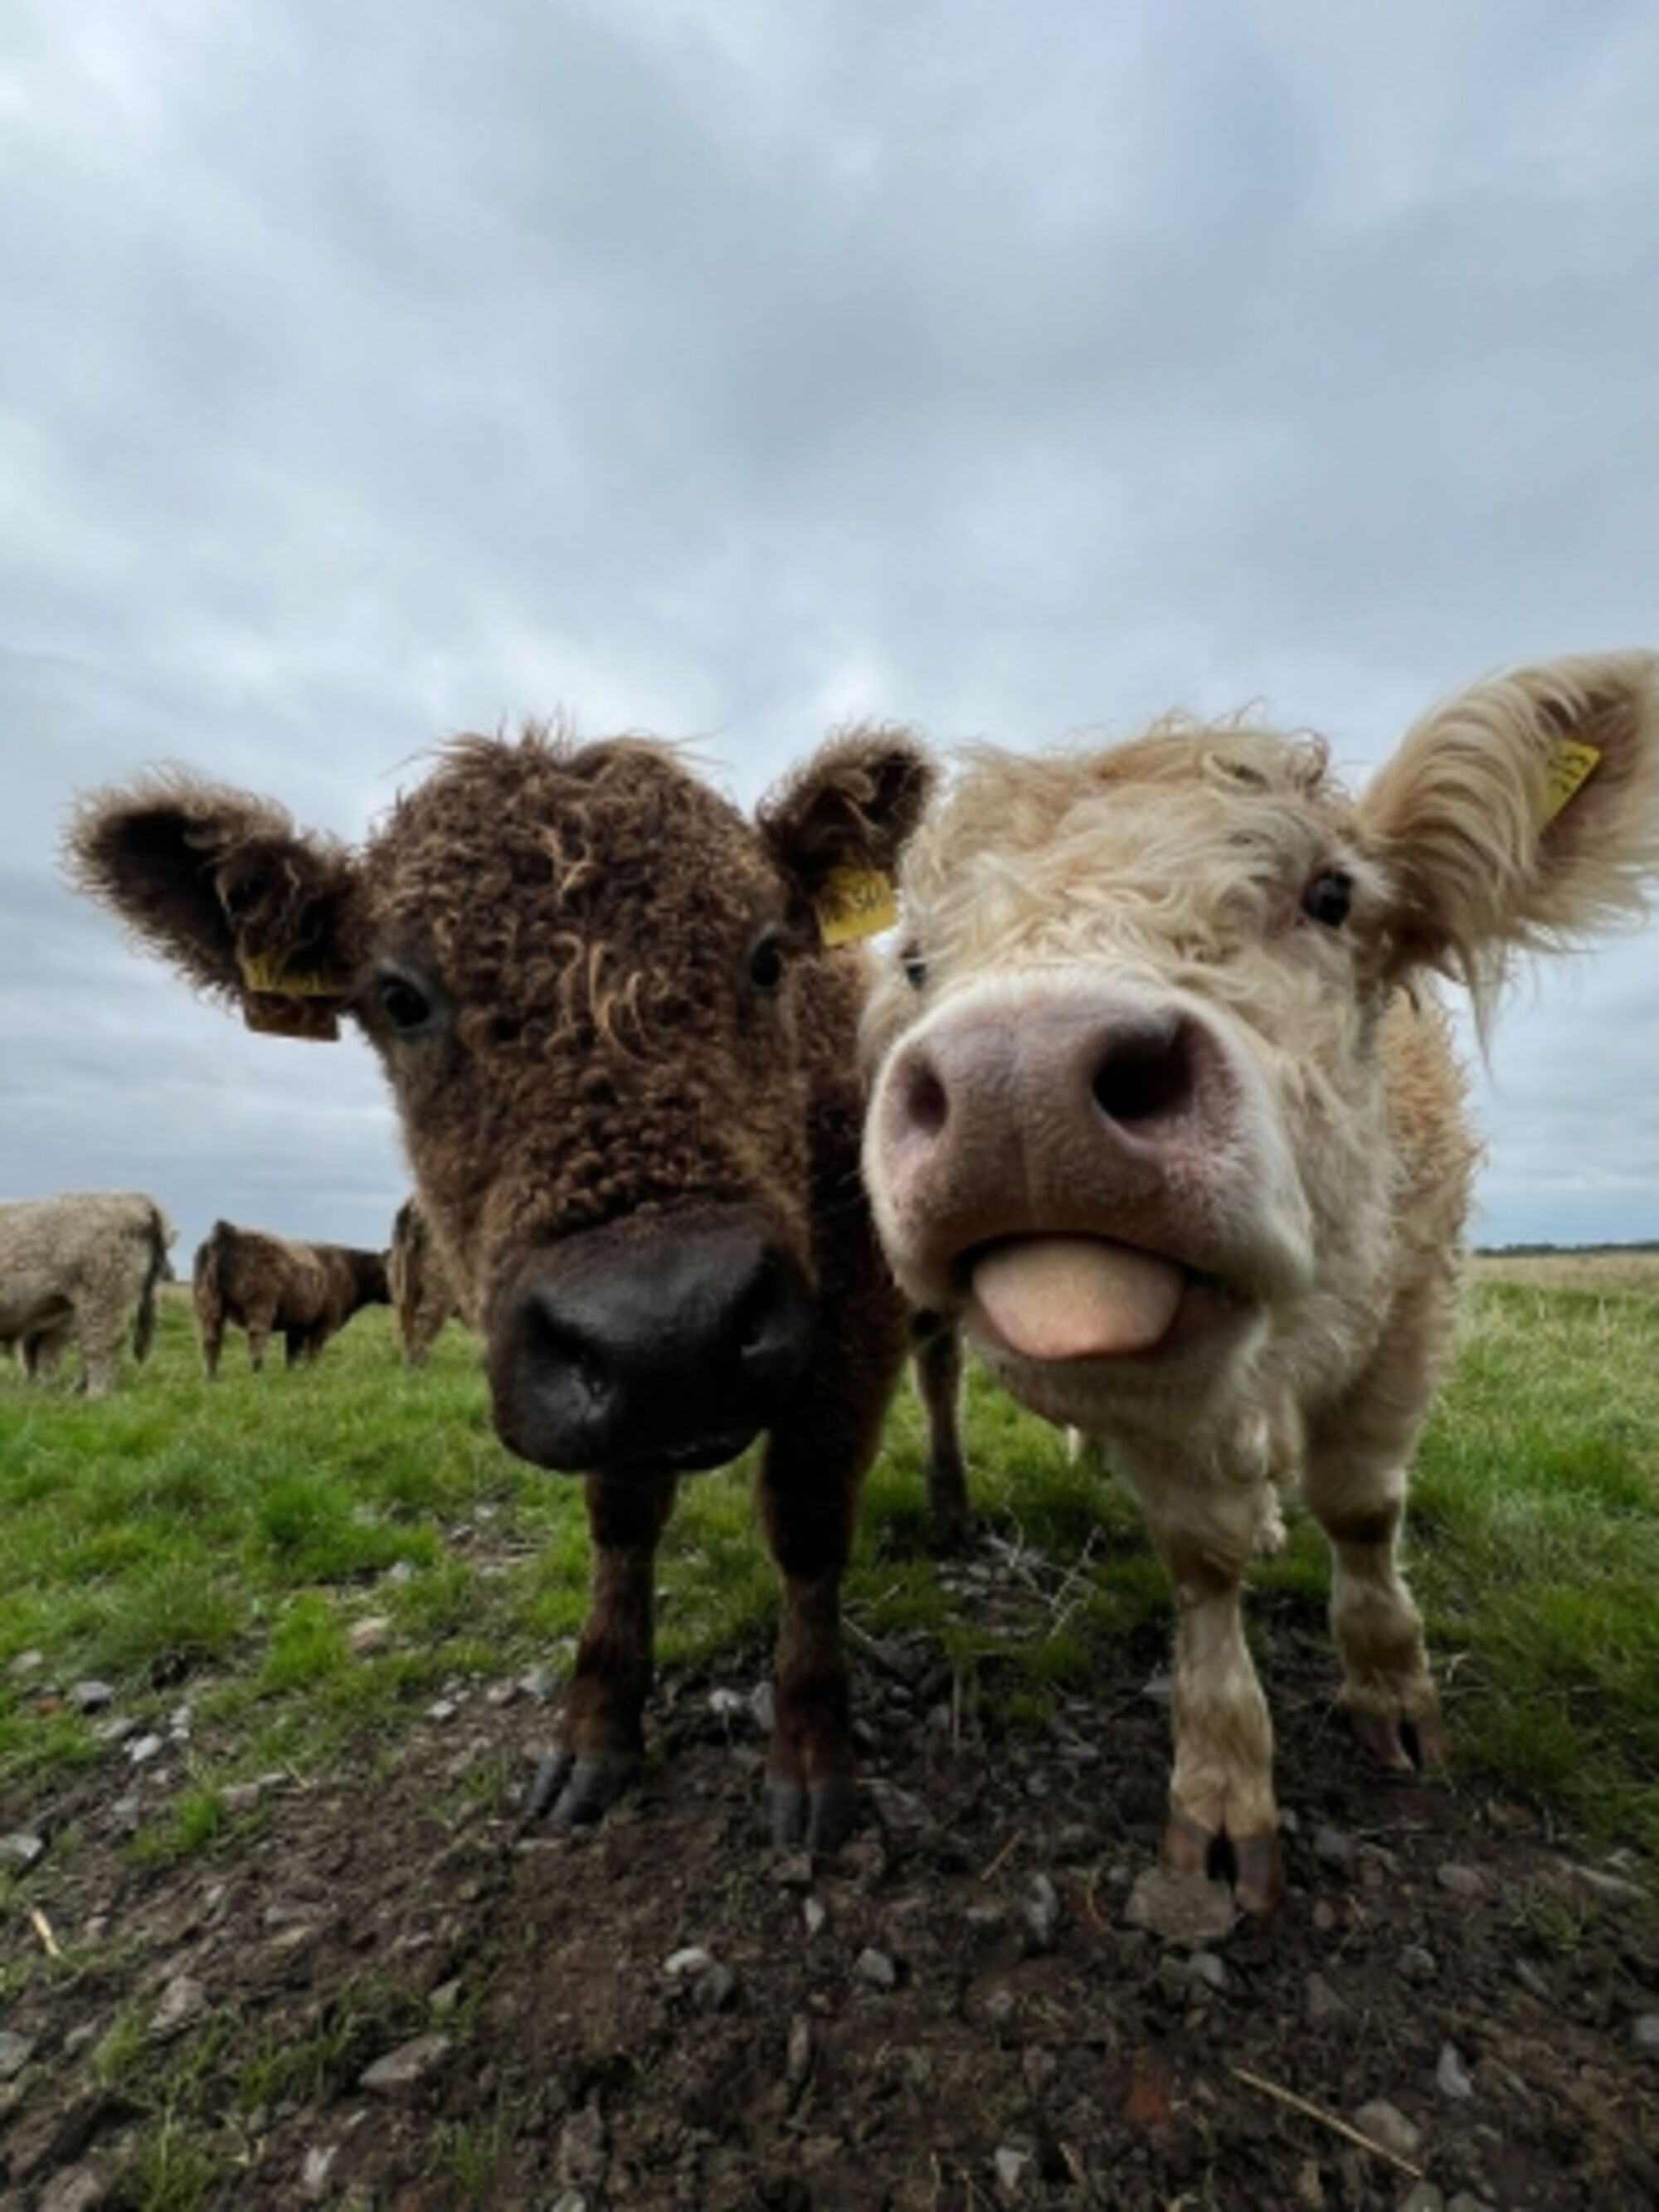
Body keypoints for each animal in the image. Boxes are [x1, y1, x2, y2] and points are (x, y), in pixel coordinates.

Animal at [192, 1219, 391, 1377]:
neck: (350, 1270)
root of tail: (227, 1229)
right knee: (257, 1334)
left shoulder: (297, 1324)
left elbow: (292, 1353)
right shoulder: (323, 1324)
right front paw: (311, 1371)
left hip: (208, 1304)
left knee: (210, 1339)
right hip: (260, 1304)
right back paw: (257, 1371)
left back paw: (211, 1376)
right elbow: (312, 1351)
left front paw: (290, 1374)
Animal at [388, 1195, 464, 1366]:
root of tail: (411, 1207)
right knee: (425, 1317)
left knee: (405, 1316)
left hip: (400, 1272)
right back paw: (419, 1365)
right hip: (440, 1278)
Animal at [860, 653, 1659, 1910]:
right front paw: (1224, 1786)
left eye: (1331, 895)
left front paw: (1393, 1691)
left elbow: (1365, 1505)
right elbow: (1201, 1560)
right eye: (916, 960)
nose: (1019, 1083)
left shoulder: (1413, 1296)